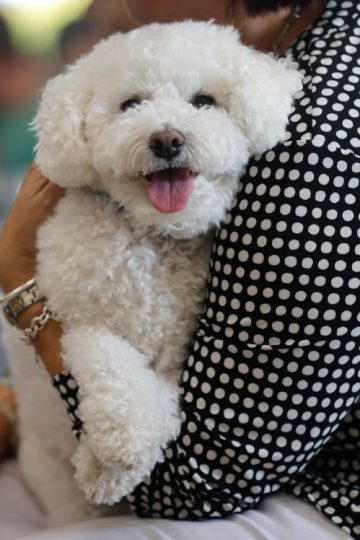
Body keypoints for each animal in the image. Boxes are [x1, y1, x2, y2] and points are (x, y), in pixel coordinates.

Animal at [3, 20, 300, 524]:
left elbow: (163, 403)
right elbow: (115, 374)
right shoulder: (79, 322)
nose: (167, 140)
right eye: (130, 104)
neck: (153, 241)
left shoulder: (179, 359)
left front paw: (102, 467)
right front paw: (116, 450)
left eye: (204, 100)